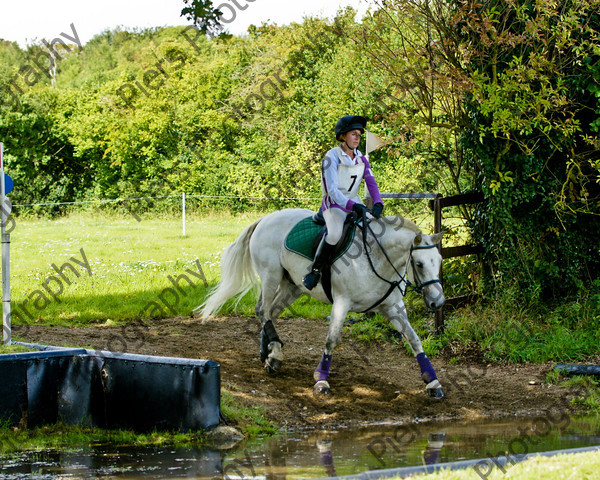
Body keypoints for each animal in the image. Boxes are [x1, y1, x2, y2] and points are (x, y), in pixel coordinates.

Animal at [197, 208, 446, 400]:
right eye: (420, 264)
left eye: (439, 261)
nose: (438, 302)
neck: (378, 258)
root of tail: (265, 219)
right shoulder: (342, 303)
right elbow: (331, 341)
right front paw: (321, 381)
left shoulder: (393, 308)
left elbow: (414, 339)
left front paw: (433, 382)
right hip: (270, 276)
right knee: (264, 310)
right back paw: (275, 353)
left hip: (292, 286)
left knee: (269, 312)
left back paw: (269, 353)